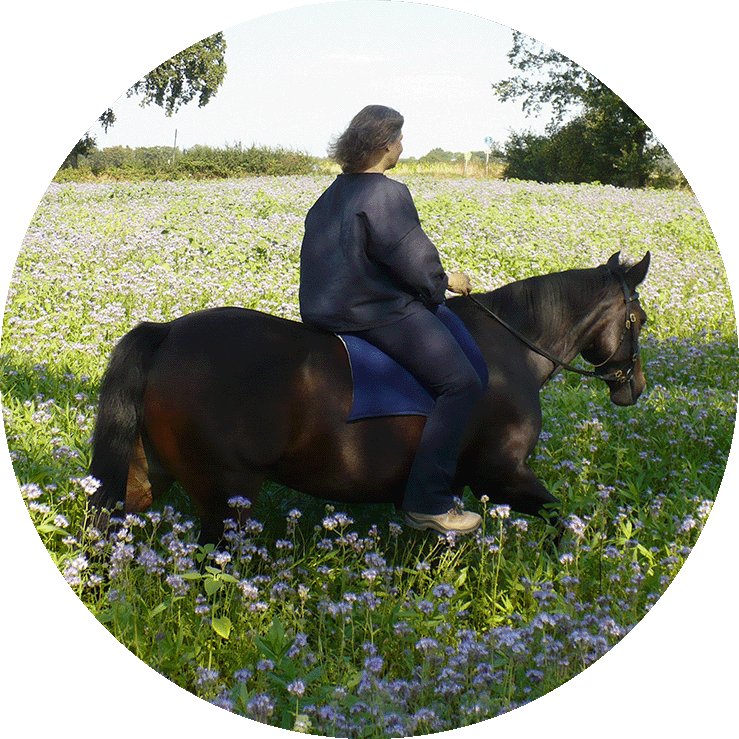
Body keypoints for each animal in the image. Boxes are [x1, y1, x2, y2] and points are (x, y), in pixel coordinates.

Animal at [87, 251, 650, 544]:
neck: (513, 347)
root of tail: (166, 335)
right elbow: (562, 522)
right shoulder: (503, 474)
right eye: (638, 319)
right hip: (228, 499)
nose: (634, 386)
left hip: (146, 479)